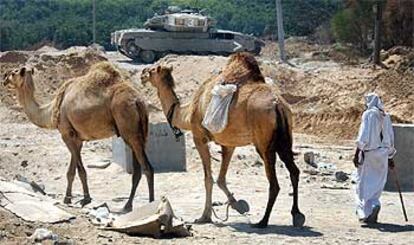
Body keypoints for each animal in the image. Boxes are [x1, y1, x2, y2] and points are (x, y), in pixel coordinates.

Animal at [2, 61, 154, 211]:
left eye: (14, 72)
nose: (4, 78)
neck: (51, 110)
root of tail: (138, 101)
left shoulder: (66, 134)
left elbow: (80, 170)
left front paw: (86, 199)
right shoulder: (77, 138)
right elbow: (71, 171)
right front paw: (67, 198)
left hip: (128, 126)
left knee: (147, 167)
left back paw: (150, 204)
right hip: (139, 133)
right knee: (137, 171)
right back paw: (127, 205)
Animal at [141, 52, 306, 229]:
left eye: (152, 70)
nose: (142, 74)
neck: (187, 112)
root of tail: (278, 105)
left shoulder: (199, 137)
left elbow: (208, 179)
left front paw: (204, 217)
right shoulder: (228, 143)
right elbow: (221, 179)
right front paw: (238, 204)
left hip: (263, 142)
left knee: (274, 182)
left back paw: (262, 221)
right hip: (285, 139)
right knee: (294, 171)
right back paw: (297, 215)